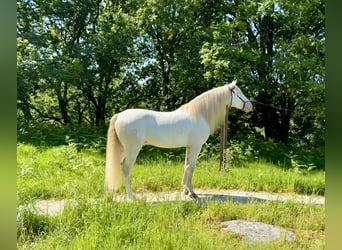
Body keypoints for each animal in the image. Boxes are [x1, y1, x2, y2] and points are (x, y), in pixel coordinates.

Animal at [105, 81, 252, 198]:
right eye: (239, 93)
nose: (251, 106)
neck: (200, 114)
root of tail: (119, 115)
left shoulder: (189, 147)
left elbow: (186, 166)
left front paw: (185, 191)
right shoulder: (196, 146)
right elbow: (191, 167)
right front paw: (192, 193)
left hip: (123, 149)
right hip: (132, 150)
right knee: (126, 169)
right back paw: (131, 196)